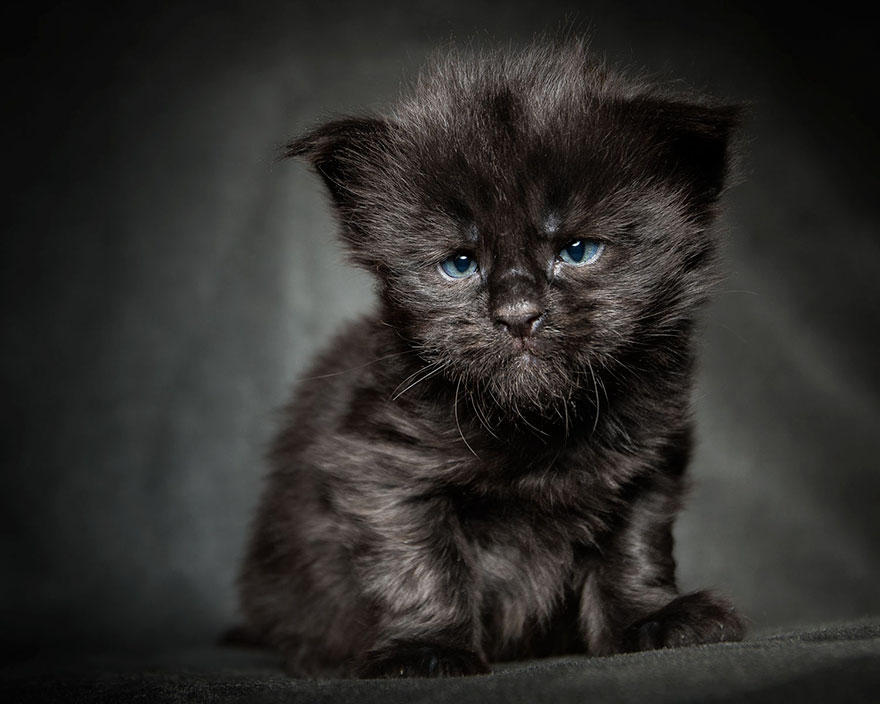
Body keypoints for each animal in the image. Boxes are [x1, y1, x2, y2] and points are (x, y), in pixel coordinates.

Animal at [237, 42, 744, 676]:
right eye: (459, 263)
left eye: (578, 250)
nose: (518, 314)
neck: (540, 427)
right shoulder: (382, 469)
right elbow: (422, 564)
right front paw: (427, 648)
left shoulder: (648, 465)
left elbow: (634, 547)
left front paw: (649, 619)